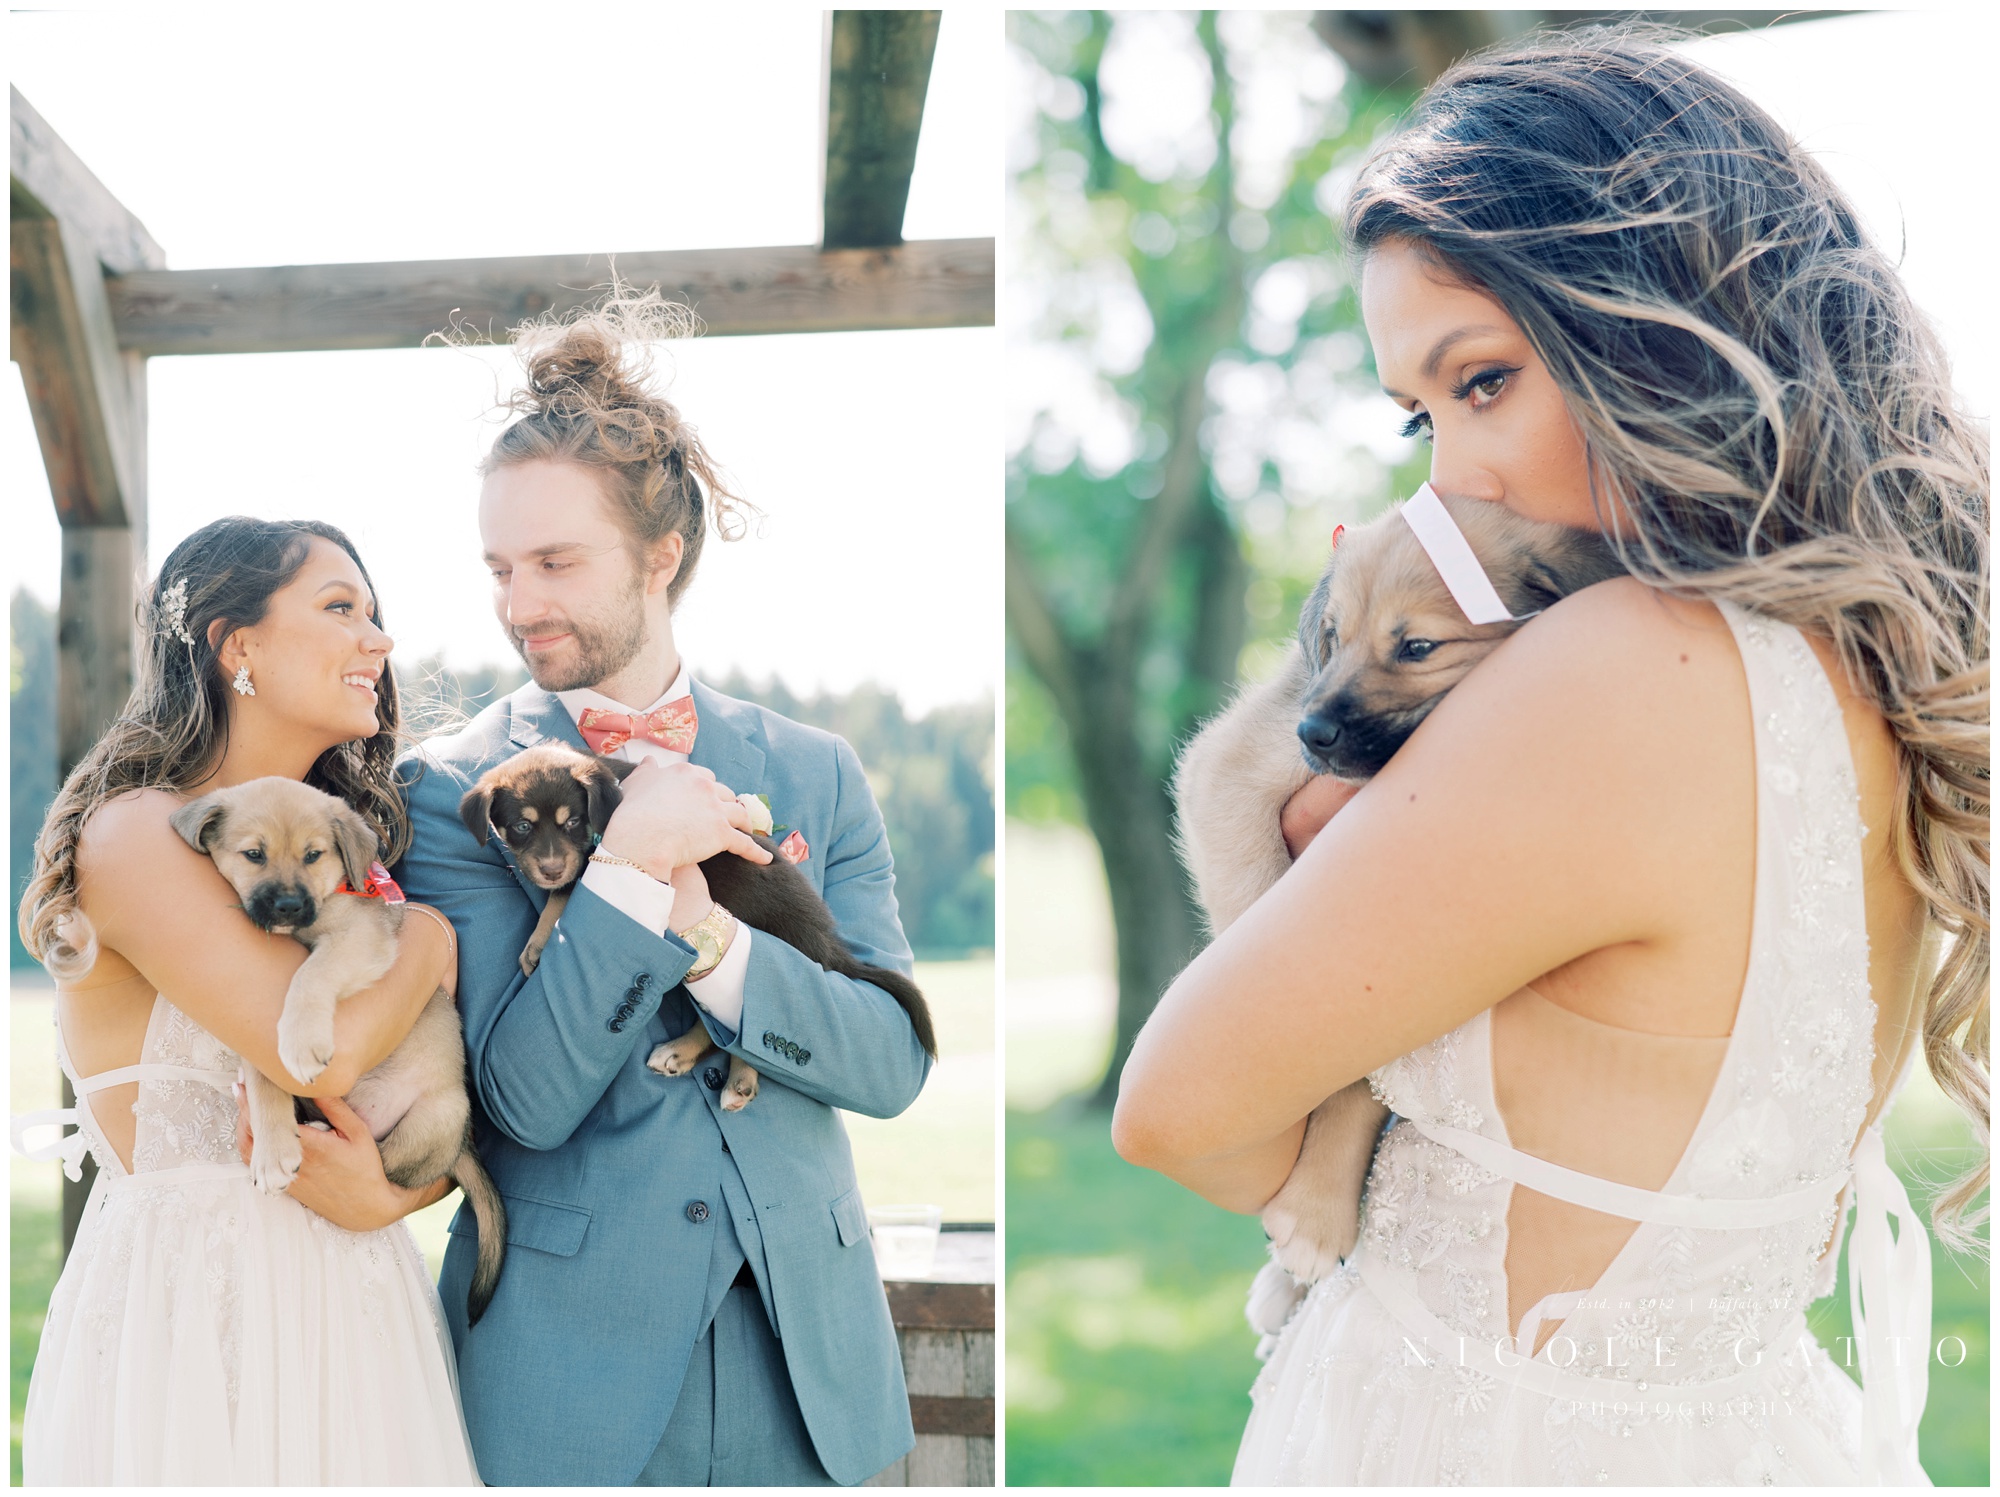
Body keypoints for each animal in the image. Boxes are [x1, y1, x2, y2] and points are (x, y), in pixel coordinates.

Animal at [171, 776, 508, 1328]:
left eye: (314, 855)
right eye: (254, 854)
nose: (288, 906)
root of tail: (461, 1146)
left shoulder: (358, 940)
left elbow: (311, 975)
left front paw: (303, 1041)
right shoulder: (252, 1024)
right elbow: (264, 1077)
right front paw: (273, 1150)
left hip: (438, 1115)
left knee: (389, 1166)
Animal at [458, 748, 940, 1096]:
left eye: (573, 820)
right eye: (522, 826)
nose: (550, 868)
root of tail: (827, 941)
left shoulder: (589, 856)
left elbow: (563, 896)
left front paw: (539, 942)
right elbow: (561, 894)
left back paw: (716, 1068)